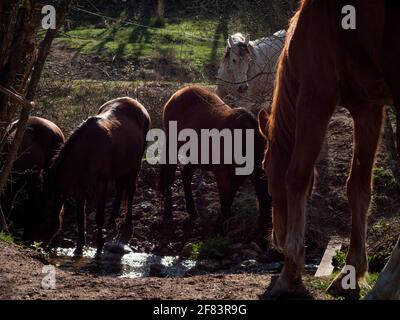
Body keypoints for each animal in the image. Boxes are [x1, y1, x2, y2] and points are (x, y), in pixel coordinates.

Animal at [38, 97, 151, 255]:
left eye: (42, 218)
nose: (35, 245)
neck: (87, 151)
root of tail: (135, 102)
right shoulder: (78, 188)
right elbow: (80, 216)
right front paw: (79, 247)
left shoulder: (101, 185)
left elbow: (99, 217)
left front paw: (100, 245)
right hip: (120, 167)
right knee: (120, 188)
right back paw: (112, 219)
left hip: (135, 165)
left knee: (130, 190)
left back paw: (127, 224)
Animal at [159, 85, 272, 235]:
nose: (266, 229)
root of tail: (178, 93)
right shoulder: (222, 173)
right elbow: (225, 200)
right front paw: (219, 228)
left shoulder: (239, 176)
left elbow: (230, 198)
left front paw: (220, 224)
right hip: (173, 146)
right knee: (169, 176)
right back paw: (168, 213)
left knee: (186, 175)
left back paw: (192, 210)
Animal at [260, 0, 400, 298]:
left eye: (265, 169)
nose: (276, 238)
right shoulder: (368, 109)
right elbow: (357, 188)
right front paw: (351, 273)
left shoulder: (315, 96)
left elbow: (296, 176)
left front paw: (290, 272)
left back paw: (385, 285)